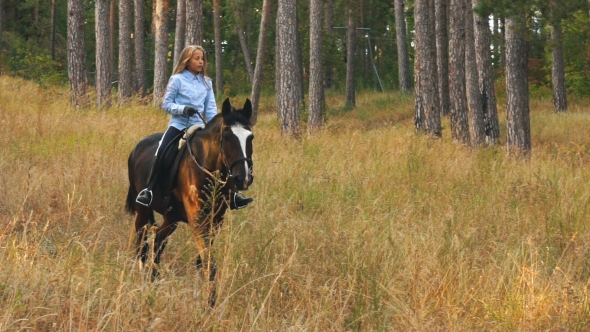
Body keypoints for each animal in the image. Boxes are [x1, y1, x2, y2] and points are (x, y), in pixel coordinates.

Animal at [125, 97, 254, 304]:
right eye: (227, 137)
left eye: (251, 137)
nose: (243, 179)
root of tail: (138, 147)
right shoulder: (198, 220)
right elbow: (209, 262)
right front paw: (209, 304)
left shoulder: (216, 221)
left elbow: (203, 261)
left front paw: (204, 298)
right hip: (142, 210)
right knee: (142, 246)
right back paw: (142, 282)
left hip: (172, 217)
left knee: (158, 242)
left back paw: (154, 281)